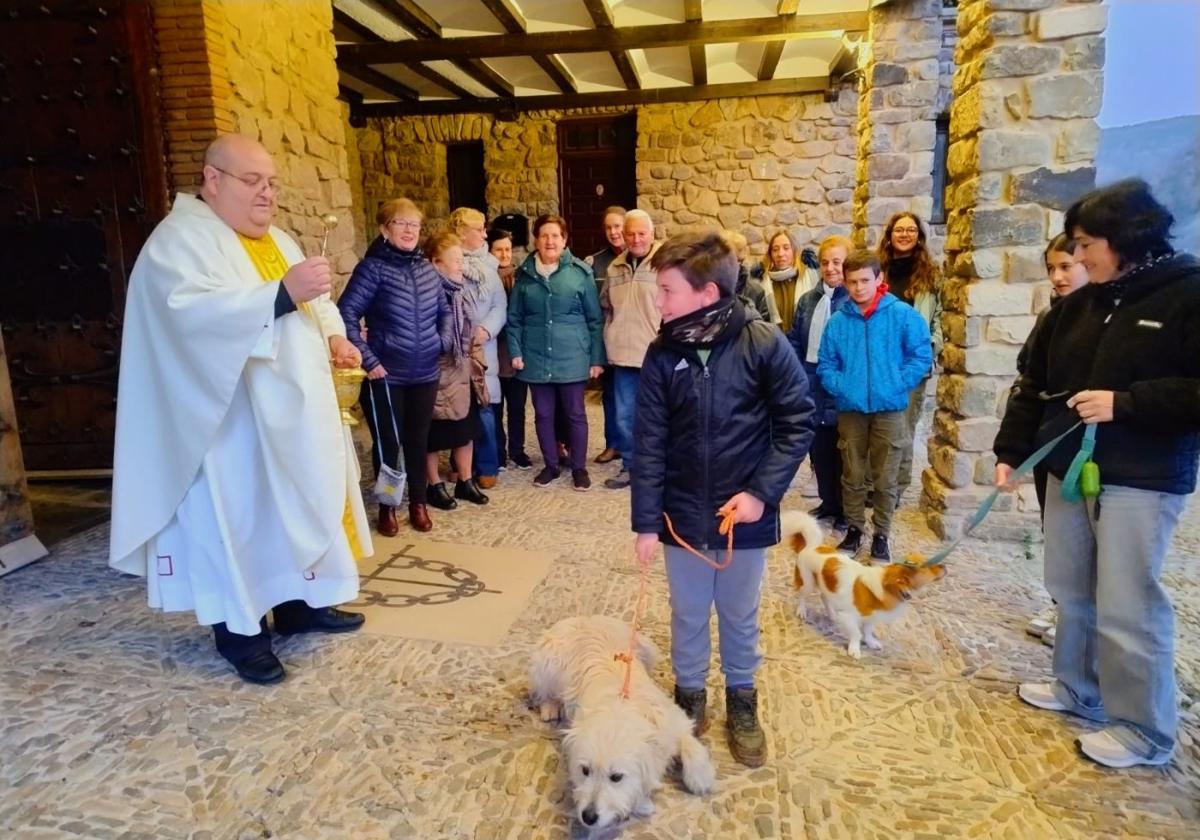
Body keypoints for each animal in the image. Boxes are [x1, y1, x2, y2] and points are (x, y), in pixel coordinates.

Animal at [532, 619, 715, 835]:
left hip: (647, 649)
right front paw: (642, 803)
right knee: (543, 691)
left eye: (616, 777)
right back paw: (550, 707)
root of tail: (585, 618)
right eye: (585, 770)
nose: (588, 817)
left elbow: (690, 745)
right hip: (548, 661)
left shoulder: (674, 721)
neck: (619, 708)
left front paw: (701, 777)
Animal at [777, 508, 945, 657]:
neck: (886, 588)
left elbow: (868, 631)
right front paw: (854, 649)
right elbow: (857, 633)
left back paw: (831, 613)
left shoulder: (870, 617)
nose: (944, 566)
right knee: (802, 596)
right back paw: (802, 611)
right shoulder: (849, 616)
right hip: (808, 582)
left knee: (824, 597)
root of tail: (812, 546)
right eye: (929, 566)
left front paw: (870, 642)